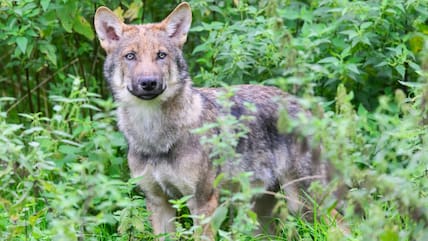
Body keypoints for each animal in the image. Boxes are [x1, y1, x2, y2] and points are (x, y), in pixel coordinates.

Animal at [94, 1, 328, 239]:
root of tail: (302, 105)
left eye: (161, 55)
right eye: (130, 56)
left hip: (305, 205)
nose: (149, 82)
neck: (154, 138)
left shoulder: (202, 202)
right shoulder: (158, 203)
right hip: (262, 217)